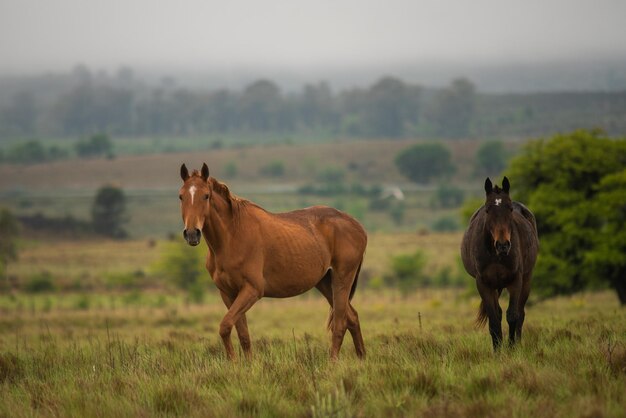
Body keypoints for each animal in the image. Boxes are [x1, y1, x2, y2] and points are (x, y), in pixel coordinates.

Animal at [179, 163, 366, 360]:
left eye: (206, 195)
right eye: (181, 196)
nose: (192, 233)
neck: (232, 236)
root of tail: (358, 227)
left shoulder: (252, 290)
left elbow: (225, 326)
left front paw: (234, 362)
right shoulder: (228, 293)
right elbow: (242, 334)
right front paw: (246, 364)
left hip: (342, 279)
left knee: (340, 323)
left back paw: (333, 362)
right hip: (325, 282)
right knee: (352, 317)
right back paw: (362, 358)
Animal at [458, 178, 536, 352]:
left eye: (509, 208)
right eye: (488, 209)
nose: (503, 245)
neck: (495, 256)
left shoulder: (516, 281)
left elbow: (513, 315)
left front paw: (512, 349)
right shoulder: (484, 284)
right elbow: (494, 319)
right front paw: (497, 351)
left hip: (527, 280)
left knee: (521, 313)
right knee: (499, 314)